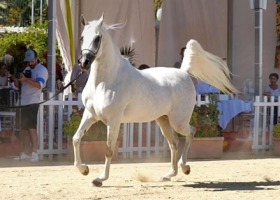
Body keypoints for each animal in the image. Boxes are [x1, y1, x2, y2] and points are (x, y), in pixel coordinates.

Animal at [73, 14, 237, 188]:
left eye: (97, 38)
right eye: (82, 37)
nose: (84, 62)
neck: (105, 81)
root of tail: (184, 72)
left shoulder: (114, 120)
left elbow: (108, 150)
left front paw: (100, 179)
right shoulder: (90, 115)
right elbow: (76, 139)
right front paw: (84, 169)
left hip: (178, 121)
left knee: (191, 132)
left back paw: (185, 167)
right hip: (163, 120)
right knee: (174, 143)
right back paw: (169, 174)